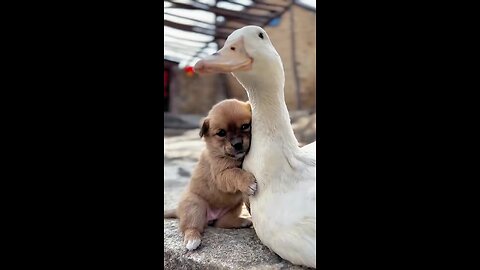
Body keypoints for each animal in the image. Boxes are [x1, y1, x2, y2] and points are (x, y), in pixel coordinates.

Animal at [164, 99, 256, 251]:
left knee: (222, 223)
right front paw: (248, 182)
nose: (237, 144)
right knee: (191, 226)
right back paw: (192, 240)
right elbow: (236, 172)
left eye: (245, 126)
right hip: (195, 206)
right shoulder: (221, 175)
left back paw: (243, 221)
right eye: (221, 133)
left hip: (234, 206)